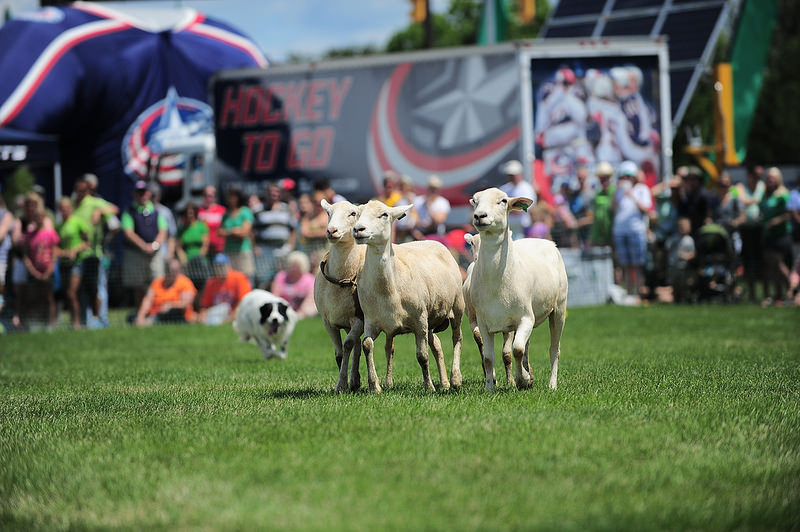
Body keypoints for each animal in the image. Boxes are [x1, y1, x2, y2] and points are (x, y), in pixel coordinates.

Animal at [316, 198, 368, 390]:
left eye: (352, 213)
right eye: (328, 213)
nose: (331, 230)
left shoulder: (360, 319)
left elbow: (347, 345)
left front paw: (342, 384)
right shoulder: (327, 321)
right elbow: (339, 352)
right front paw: (343, 382)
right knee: (358, 346)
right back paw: (355, 380)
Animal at [354, 202, 466, 392]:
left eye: (384, 214)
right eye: (358, 213)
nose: (358, 229)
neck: (388, 287)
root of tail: (432, 240)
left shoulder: (419, 321)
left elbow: (422, 355)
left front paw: (429, 387)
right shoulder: (371, 321)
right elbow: (367, 345)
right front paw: (375, 386)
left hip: (457, 306)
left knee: (456, 338)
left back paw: (455, 378)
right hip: (430, 318)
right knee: (436, 345)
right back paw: (444, 383)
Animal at [468, 188, 568, 390]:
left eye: (503, 201)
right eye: (475, 201)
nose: (479, 216)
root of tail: (545, 241)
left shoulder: (526, 318)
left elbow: (517, 349)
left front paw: (523, 380)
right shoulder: (483, 322)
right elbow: (488, 358)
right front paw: (489, 387)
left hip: (559, 308)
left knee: (554, 349)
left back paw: (552, 384)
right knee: (528, 345)